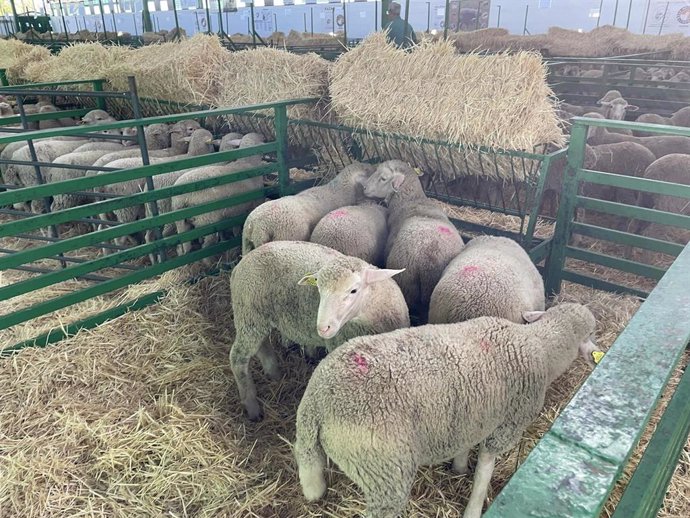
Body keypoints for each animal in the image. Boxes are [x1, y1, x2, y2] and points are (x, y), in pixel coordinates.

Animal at [226, 242, 408, 424]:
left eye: (353, 290)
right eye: (319, 289)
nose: (322, 328)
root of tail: (241, 264)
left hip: (257, 319)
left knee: (263, 346)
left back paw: (275, 374)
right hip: (248, 315)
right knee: (238, 358)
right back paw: (252, 407)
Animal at [292, 302, 600, 518]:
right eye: (590, 334)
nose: (595, 354)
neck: (539, 346)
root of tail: (316, 398)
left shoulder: (473, 414)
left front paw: (459, 467)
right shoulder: (507, 425)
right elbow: (485, 469)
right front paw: (474, 507)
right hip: (384, 469)